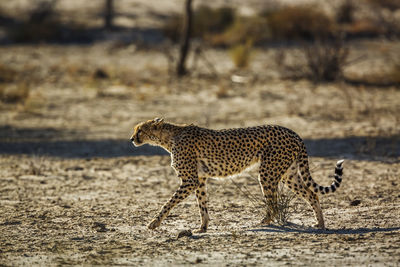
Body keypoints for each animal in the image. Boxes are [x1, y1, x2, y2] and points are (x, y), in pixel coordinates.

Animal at [130, 118, 344, 233]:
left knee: (274, 202)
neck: (168, 137)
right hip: (288, 174)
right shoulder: (199, 179)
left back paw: (265, 221)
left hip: (267, 172)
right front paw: (203, 227)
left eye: (140, 130)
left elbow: (169, 202)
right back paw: (320, 223)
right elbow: (202, 205)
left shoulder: (190, 180)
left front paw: (154, 223)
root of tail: (293, 132)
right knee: (312, 194)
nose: (132, 139)